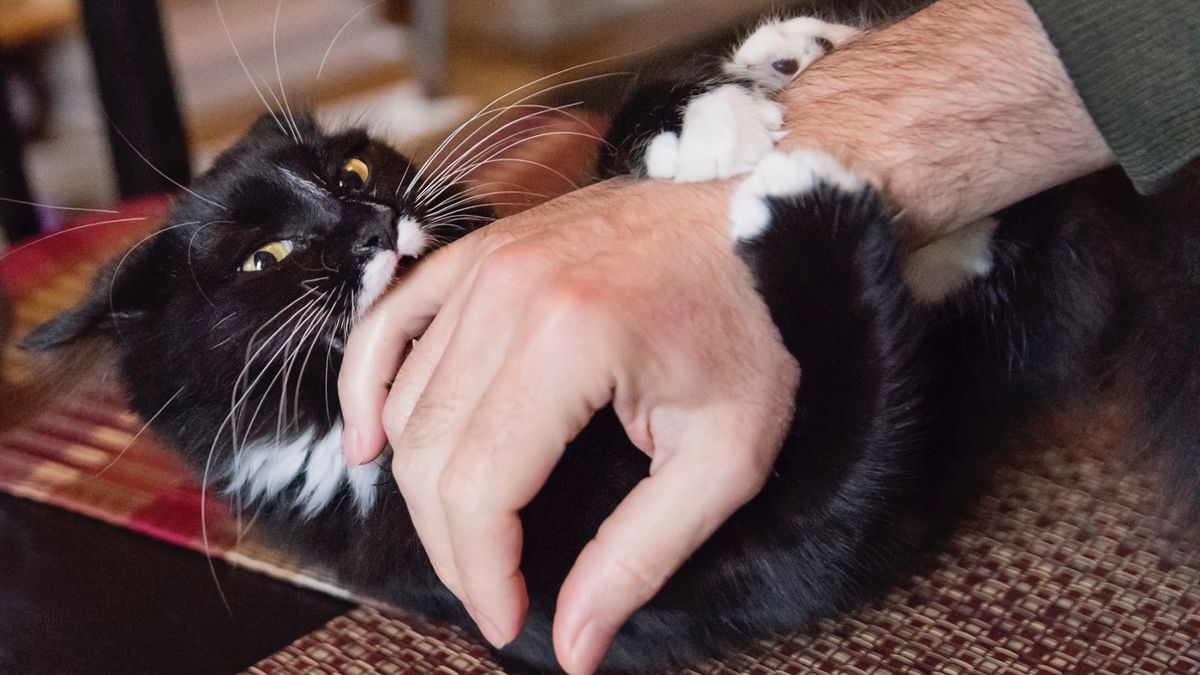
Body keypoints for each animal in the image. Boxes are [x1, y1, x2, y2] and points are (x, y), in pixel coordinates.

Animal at [18, 13, 1200, 667]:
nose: (368, 224)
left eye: (351, 170)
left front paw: (699, 117)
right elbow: (835, 472)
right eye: (263, 259)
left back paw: (791, 55)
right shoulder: (710, 563)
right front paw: (802, 206)